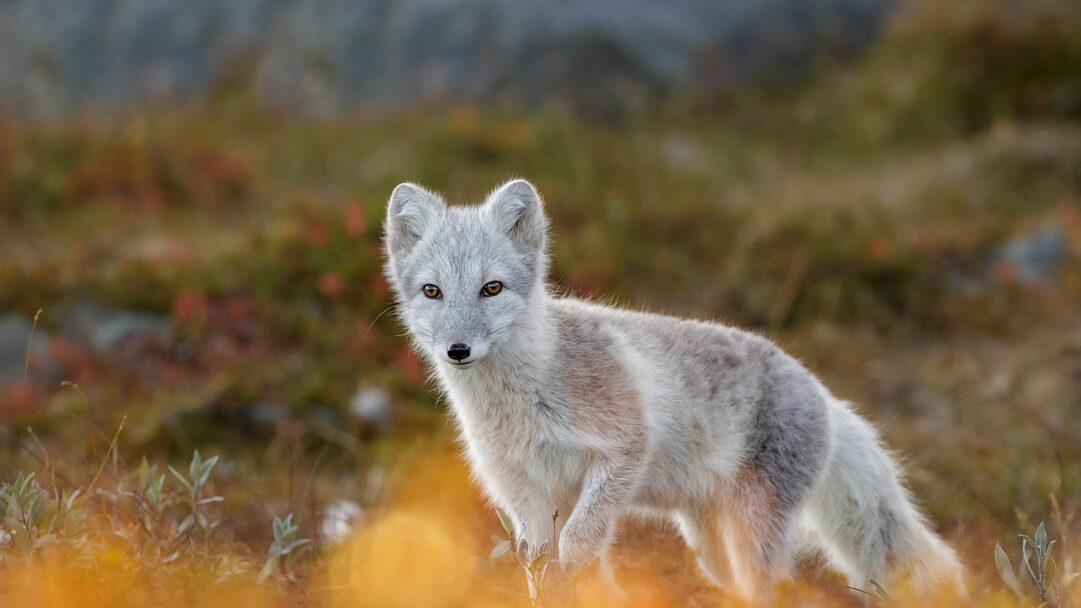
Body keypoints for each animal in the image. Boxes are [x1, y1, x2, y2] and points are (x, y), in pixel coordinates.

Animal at [382, 178, 965, 603]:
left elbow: (578, 544)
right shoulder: (524, 492)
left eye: (492, 288)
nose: (458, 350)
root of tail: (821, 390)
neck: (519, 401)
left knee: (774, 587)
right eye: (432, 291)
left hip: (753, 532)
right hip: (710, 545)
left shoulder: (623, 450)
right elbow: (541, 563)